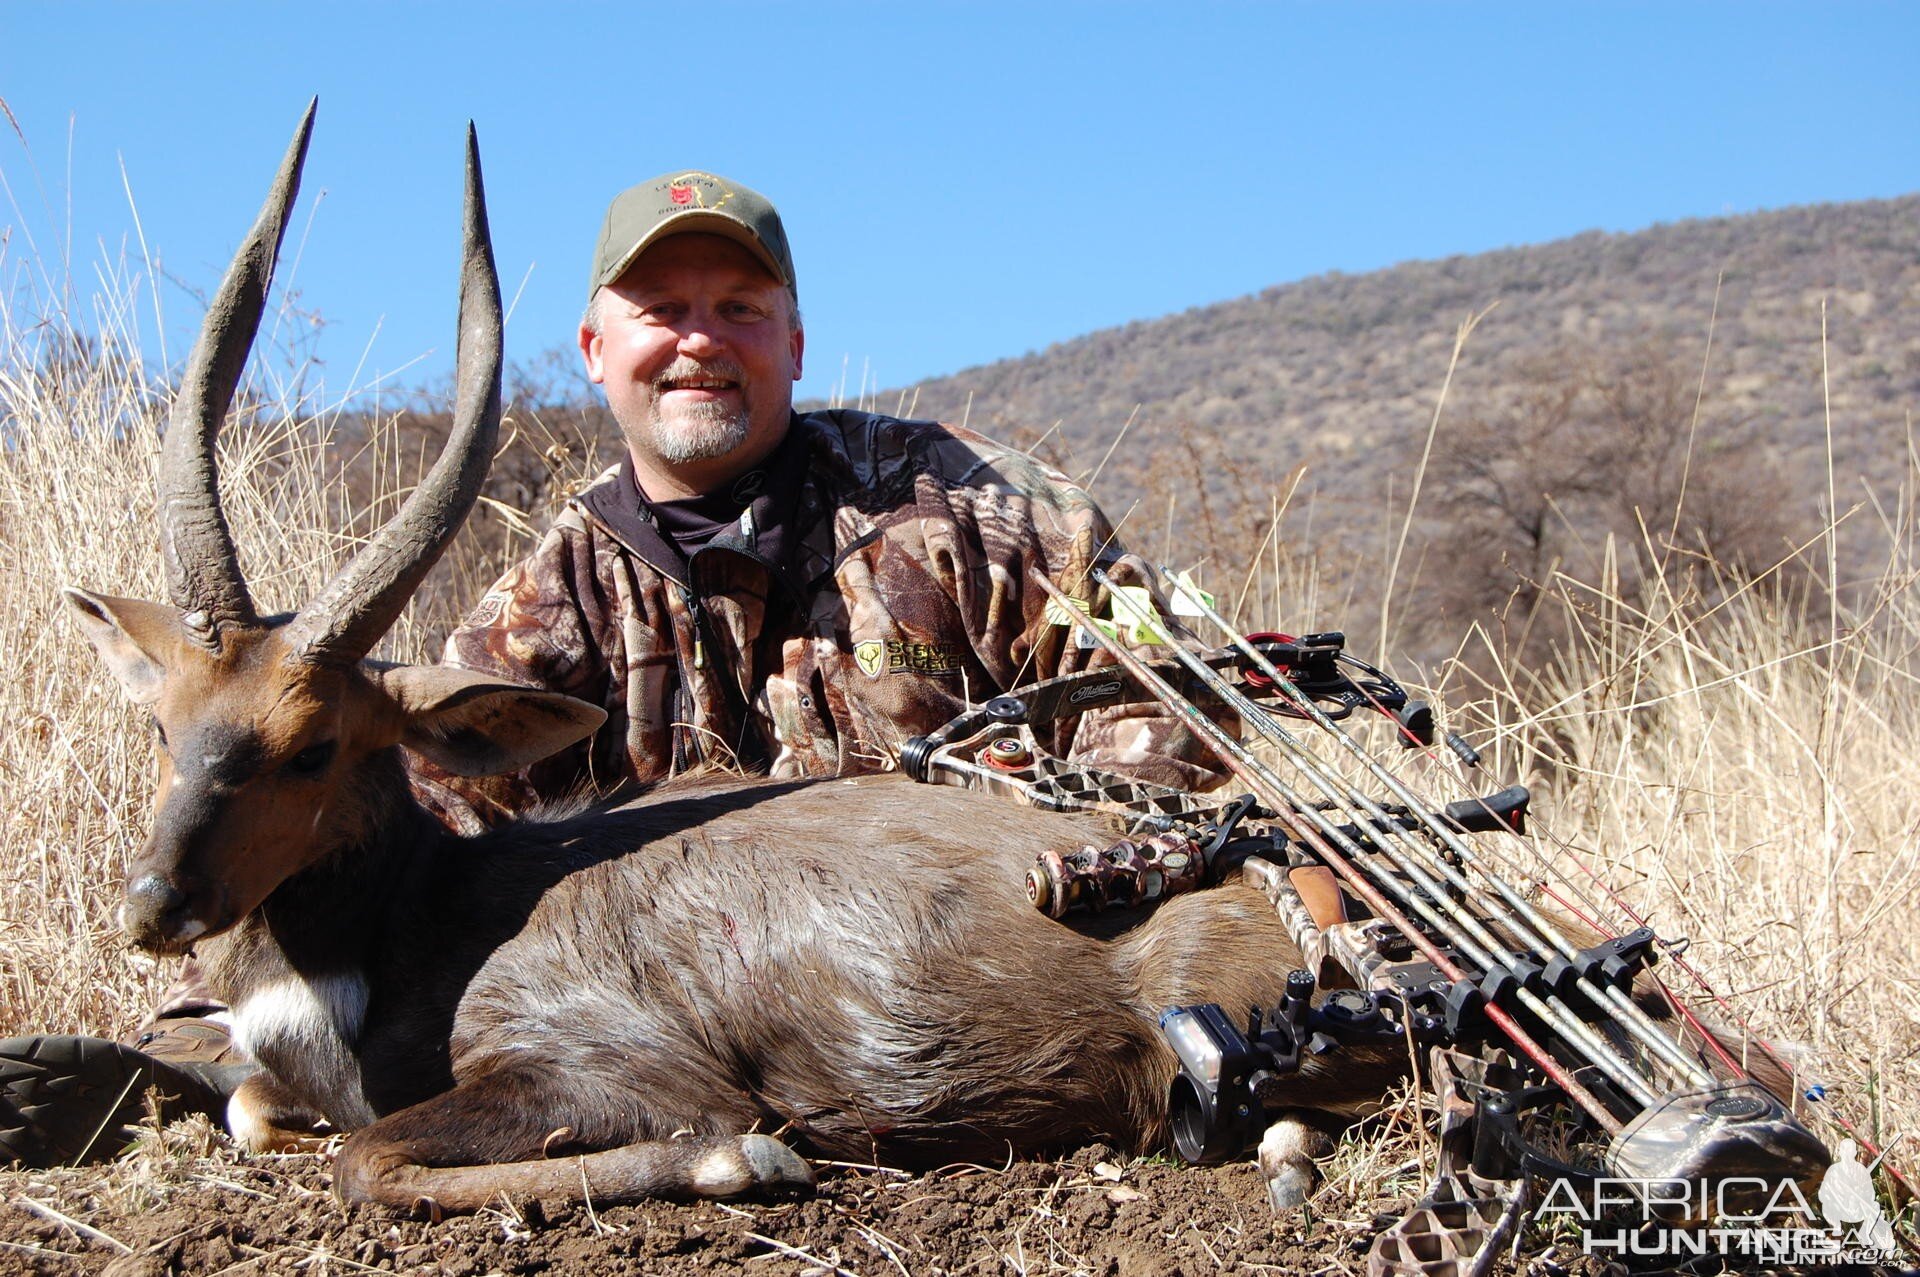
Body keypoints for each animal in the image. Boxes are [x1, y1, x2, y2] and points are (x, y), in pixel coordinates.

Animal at [63, 107, 1397, 1205]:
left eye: (315, 742)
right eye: (167, 723)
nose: (152, 905)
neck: (421, 923)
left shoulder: (602, 1063)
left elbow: (371, 1157)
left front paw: (746, 1158)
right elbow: (257, 1107)